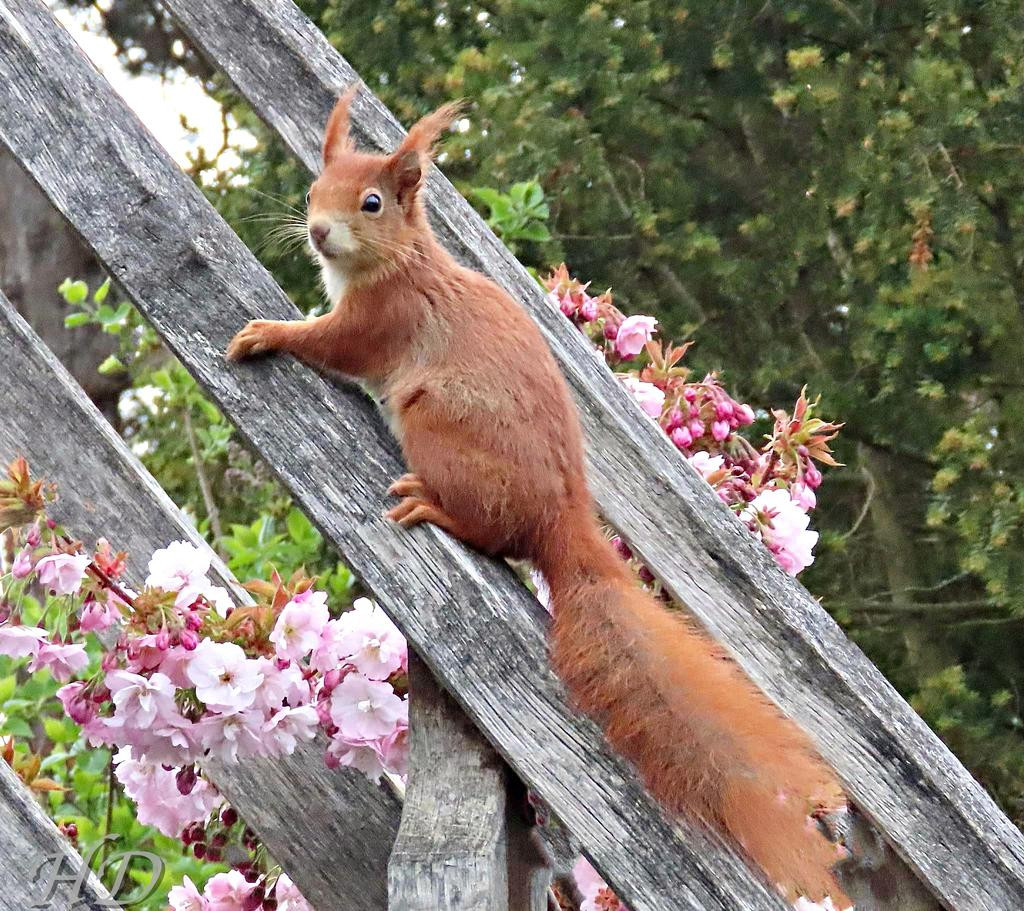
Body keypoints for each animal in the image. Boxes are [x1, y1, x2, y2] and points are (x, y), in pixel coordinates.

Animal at [226, 86, 849, 904]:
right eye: (312, 193)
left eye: (371, 202)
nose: (319, 231)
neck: (401, 261)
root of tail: (562, 525)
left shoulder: (379, 323)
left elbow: (327, 344)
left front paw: (267, 332)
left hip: (436, 423)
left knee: (490, 534)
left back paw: (435, 506)